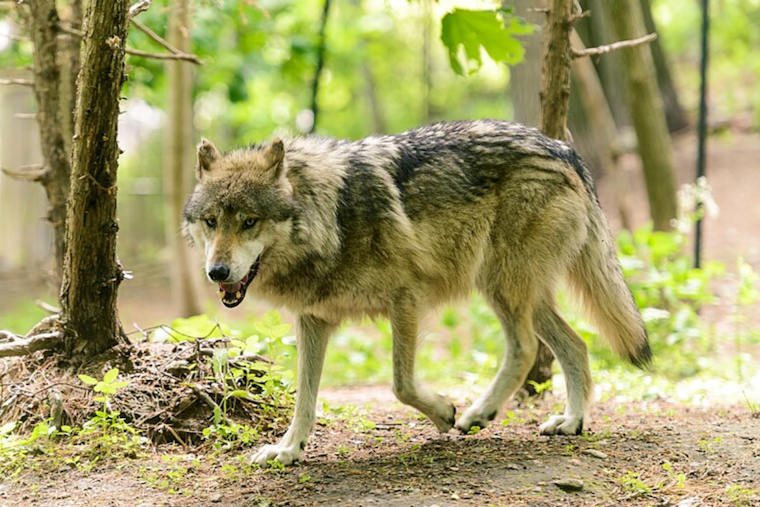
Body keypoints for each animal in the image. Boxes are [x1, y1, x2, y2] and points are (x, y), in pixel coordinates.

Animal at [182, 119, 651, 466]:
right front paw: (288, 450)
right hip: (521, 293)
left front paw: (445, 412)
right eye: (211, 222)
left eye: (249, 222)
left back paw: (479, 413)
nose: (216, 272)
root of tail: (563, 149)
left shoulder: (406, 299)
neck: (331, 216)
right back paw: (571, 422)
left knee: (525, 349)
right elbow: (305, 398)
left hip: (500, 285)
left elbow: (401, 385)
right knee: (576, 345)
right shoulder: (313, 319)